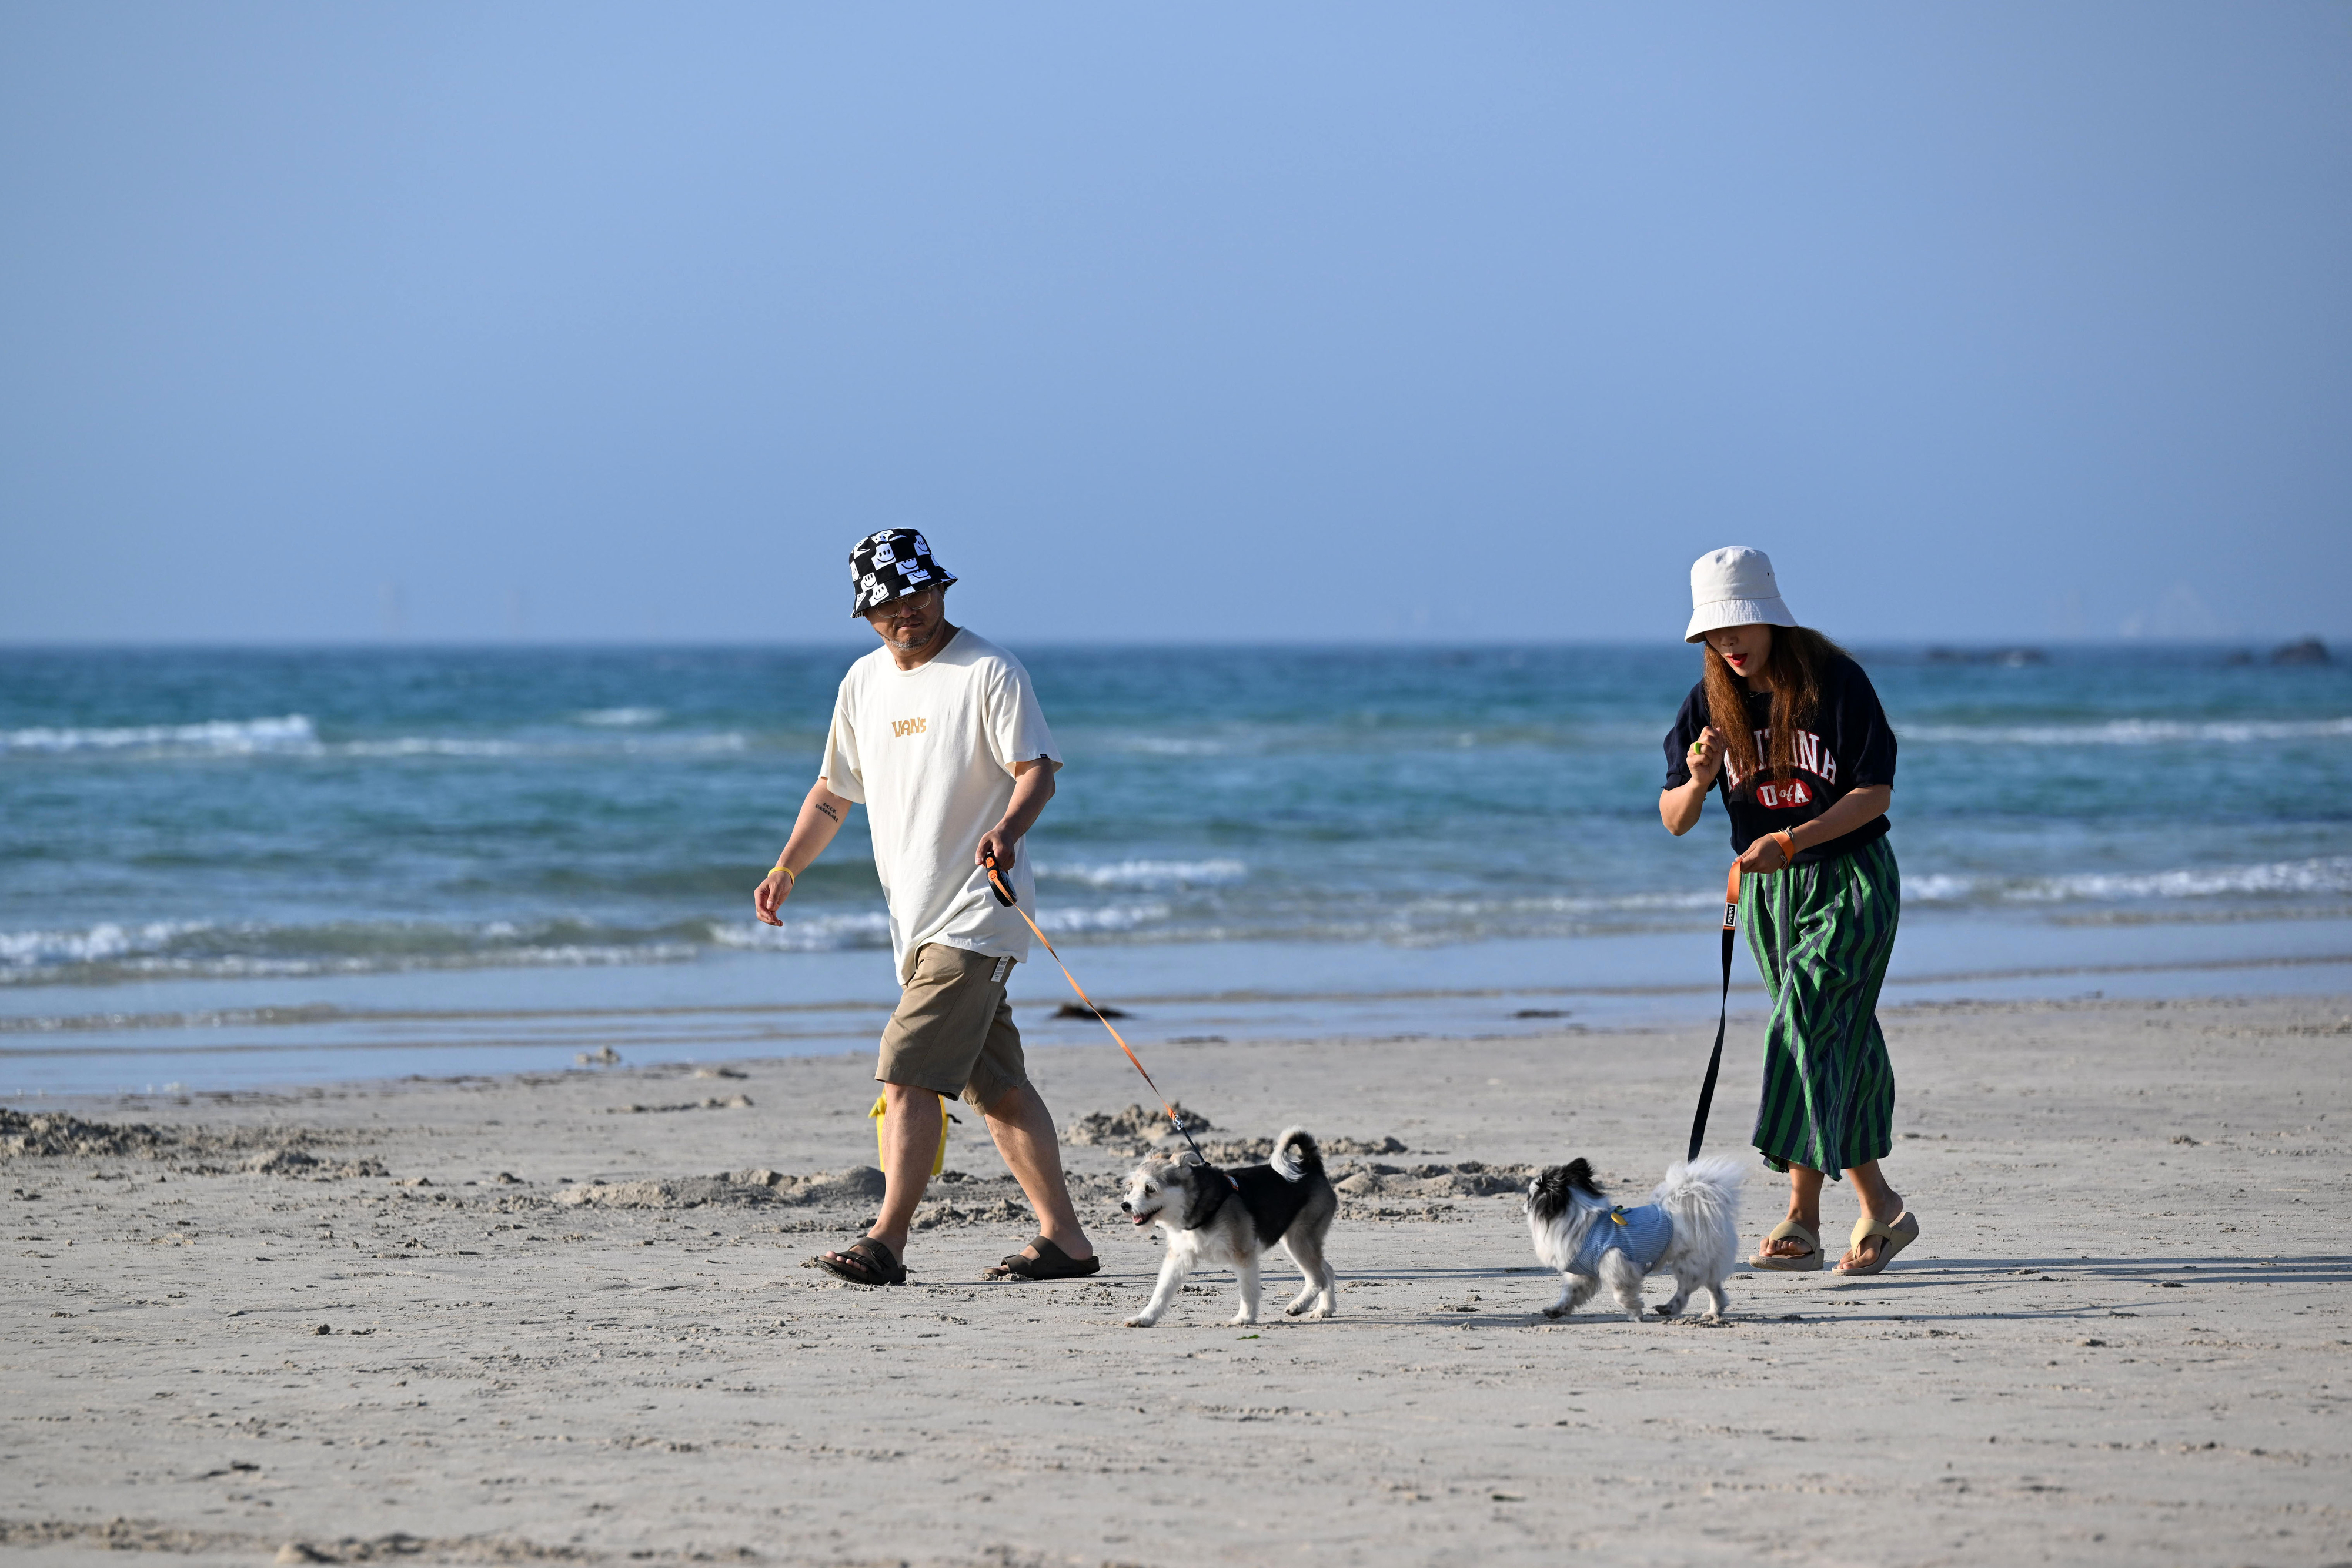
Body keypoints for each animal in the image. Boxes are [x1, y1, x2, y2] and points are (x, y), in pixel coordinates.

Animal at [1124, 1124, 1345, 1335]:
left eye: (1150, 1189)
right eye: (1131, 1187)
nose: (1125, 1206)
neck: (1196, 1203)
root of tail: (1310, 1165)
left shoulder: (1243, 1255)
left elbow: (1247, 1291)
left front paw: (1244, 1319)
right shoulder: (1179, 1257)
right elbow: (1162, 1291)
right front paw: (1145, 1318)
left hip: (1299, 1239)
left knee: (1318, 1278)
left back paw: (1299, 1305)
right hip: (1303, 1241)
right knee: (1326, 1271)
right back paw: (1324, 1309)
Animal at [1524, 1152, 1750, 1326]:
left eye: (1529, 1196)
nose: (1524, 1204)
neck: (1577, 1216)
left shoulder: (1618, 1267)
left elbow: (1621, 1295)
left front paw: (1635, 1314)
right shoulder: (1582, 1275)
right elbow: (1569, 1294)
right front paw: (1557, 1310)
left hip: (1687, 1264)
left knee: (1686, 1289)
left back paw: (1670, 1308)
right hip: (1706, 1264)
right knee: (1715, 1289)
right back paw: (1713, 1313)